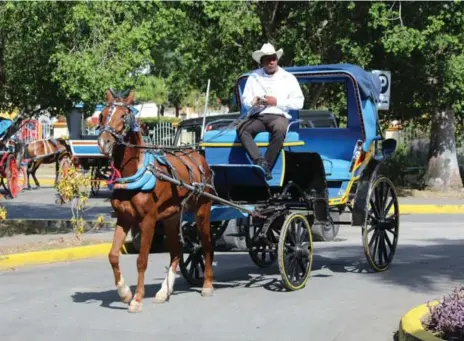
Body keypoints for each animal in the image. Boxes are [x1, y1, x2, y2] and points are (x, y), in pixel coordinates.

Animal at [98, 89, 214, 312]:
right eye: (102, 115)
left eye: (123, 116)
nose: (103, 142)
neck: (135, 173)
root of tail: (198, 155)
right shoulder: (124, 218)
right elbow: (113, 255)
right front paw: (124, 293)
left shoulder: (148, 221)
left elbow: (142, 260)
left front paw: (136, 299)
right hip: (171, 217)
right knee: (176, 251)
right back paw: (164, 292)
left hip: (202, 210)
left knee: (206, 245)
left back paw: (207, 286)